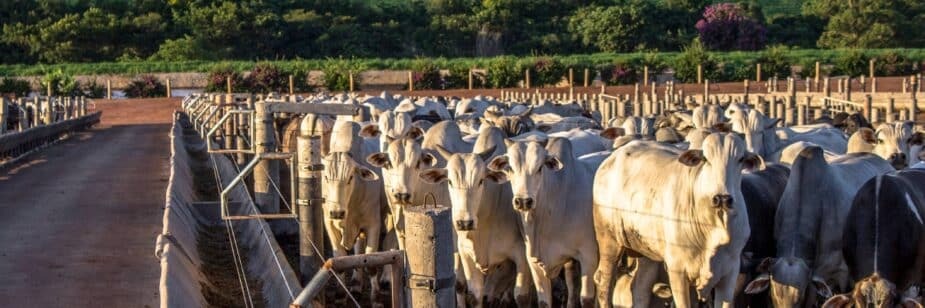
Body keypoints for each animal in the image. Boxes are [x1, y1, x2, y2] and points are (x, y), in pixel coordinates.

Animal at [488, 138, 604, 306]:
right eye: (510, 168)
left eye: (539, 168)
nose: (523, 201)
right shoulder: (534, 262)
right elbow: (544, 301)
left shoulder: (589, 256)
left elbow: (587, 299)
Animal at [592, 134, 756, 308]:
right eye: (705, 158)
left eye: (741, 159)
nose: (722, 199)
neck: (712, 228)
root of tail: (611, 159)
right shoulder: (678, 271)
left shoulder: (730, 273)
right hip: (609, 241)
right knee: (604, 281)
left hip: (647, 252)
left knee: (640, 288)